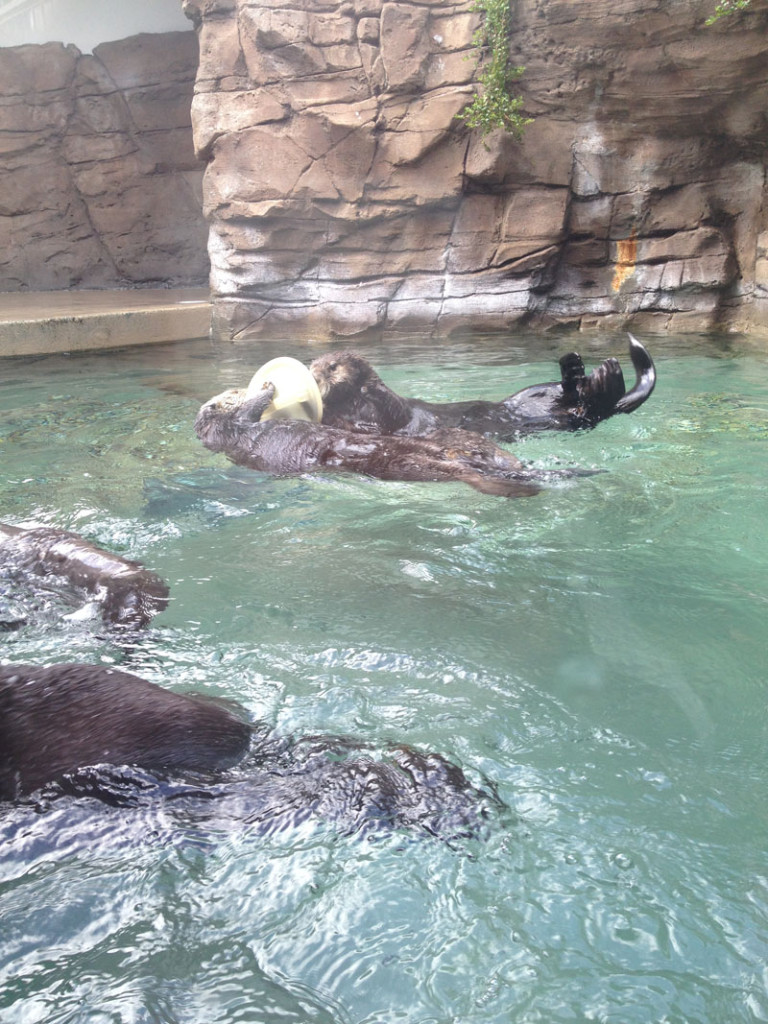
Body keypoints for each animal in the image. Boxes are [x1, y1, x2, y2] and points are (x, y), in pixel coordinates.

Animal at [193, 382, 593, 497]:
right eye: (234, 390)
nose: (245, 384)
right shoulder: (230, 432)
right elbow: (242, 416)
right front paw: (264, 389)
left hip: (451, 441)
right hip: (408, 464)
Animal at [309, 335, 659, 440]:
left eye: (332, 366)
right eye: (313, 364)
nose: (314, 374)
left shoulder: (395, 407)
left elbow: (393, 404)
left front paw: (370, 389)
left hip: (534, 391)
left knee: (578, 391)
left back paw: (582, 367)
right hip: (570, 417)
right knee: (590, 404)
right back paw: (602, 373)